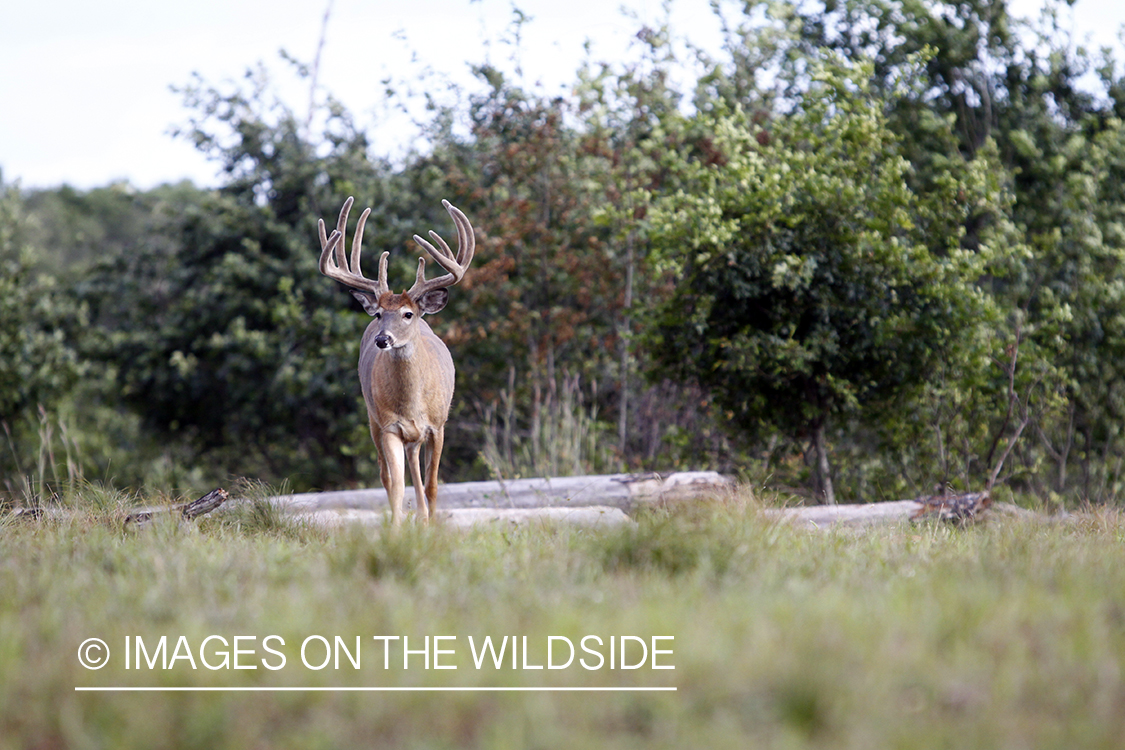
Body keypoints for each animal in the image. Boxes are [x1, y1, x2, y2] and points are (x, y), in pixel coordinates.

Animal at [317, 199, 474, 528]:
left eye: (407, 314)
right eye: (379, 314)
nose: (382, 339)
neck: (412, 402)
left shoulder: (438, 425)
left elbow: (432, 484)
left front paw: (431, 526)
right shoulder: (388, 424)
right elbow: (397, 485)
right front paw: (396, 530)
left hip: (415, 433)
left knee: (416, 467)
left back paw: (424, 518)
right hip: (372, 418)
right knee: (387, 475)